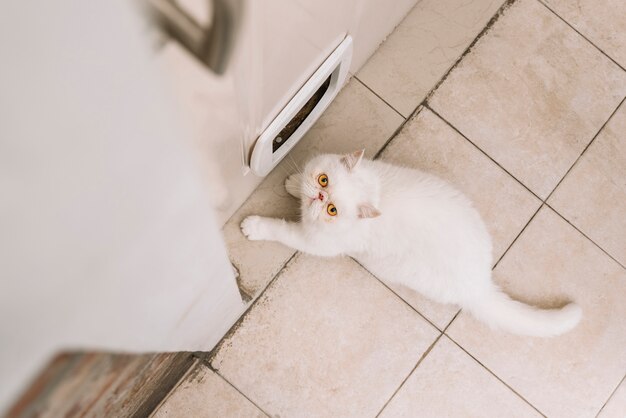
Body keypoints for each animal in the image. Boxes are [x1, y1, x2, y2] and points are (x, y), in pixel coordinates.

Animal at [243, 150, 580, 336]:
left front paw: (256, 226)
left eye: (332, 210)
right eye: (323, 180)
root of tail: (481, 282)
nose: (320, 196)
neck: (374, 192)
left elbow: (281, 230)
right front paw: (294, 183)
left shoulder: (314, 242)